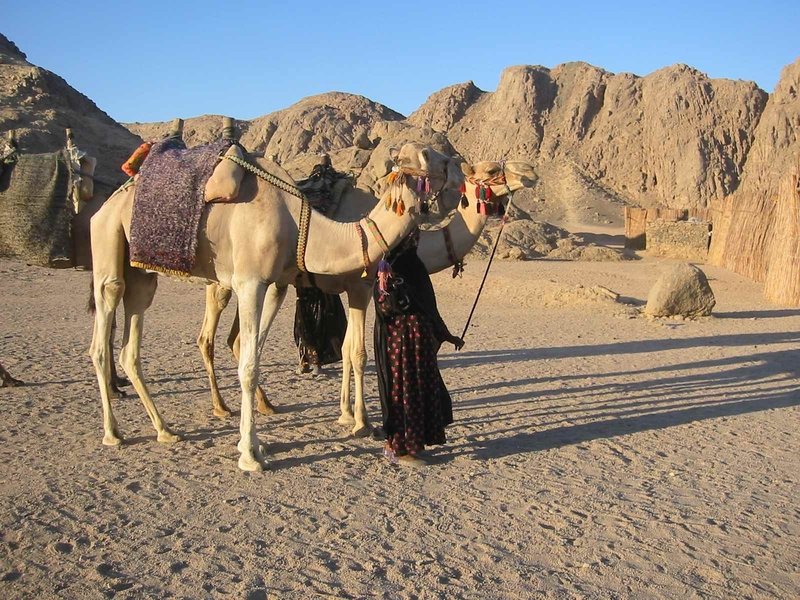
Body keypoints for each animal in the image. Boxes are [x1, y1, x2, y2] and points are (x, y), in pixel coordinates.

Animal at [88, 138, 460, 472]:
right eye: (432, 156)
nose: (459, 168)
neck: (300, 224)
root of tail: (110, 201)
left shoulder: (274, 284)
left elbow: (251, 353)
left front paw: (255, 444)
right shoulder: (250, 282)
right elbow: (249, 367)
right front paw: (250, 457)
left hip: (142, 273)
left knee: (131, 342)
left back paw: (165, 430)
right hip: (108, 240)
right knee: (104, 323)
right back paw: (113, 433)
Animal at [196, 156, 536, 436]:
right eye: (490, 170)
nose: (529, 171)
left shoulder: (355, 289)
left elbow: (346, 349)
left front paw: (346, 413)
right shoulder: (359, 285)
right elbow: (357, 352)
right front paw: (361, 421)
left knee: (235, 340)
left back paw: (264, 404)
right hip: (223, 280)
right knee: (209, 338)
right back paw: (221, 407)